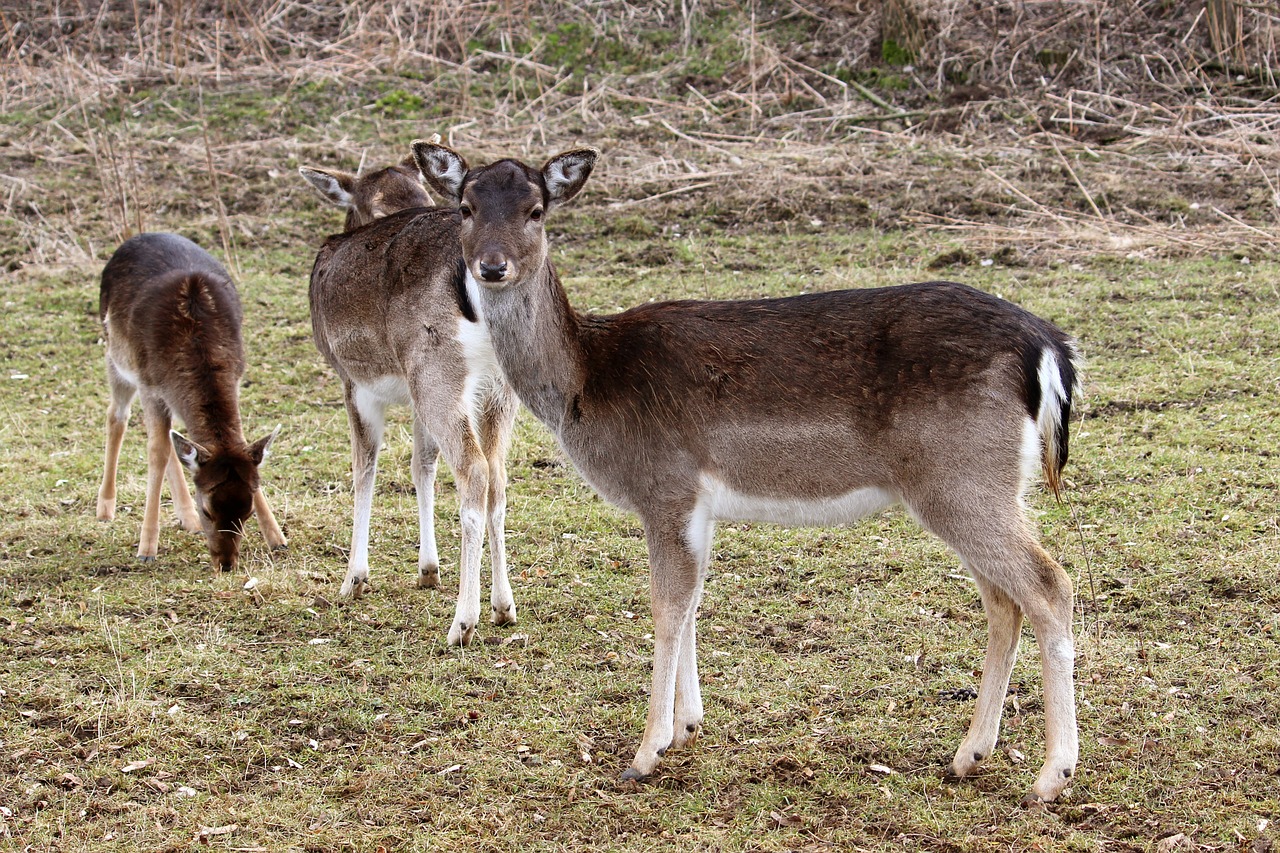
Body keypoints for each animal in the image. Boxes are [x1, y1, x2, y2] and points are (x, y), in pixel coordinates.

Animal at [95, 230, 288, 571]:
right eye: (208, 509)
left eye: (248, 513)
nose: (226, 564)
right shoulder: (149, 384)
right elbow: (156, 452)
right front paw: (146, 548)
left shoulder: (236, 375)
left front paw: (277, 538)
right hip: (115, 356)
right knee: (117, 416)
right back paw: (105, 507)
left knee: (171, 438)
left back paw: (185, 519)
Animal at [299, 151, 519, 645]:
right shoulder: (416, 395)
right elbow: (422, 467)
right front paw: (427, 570)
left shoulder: (353, 381)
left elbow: (364, 469)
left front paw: (353, 579)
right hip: (494, 386)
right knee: (497, 475)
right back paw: (503, 606)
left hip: (436, 369)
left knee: (475, 470)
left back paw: (463, 622)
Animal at [414, 140, 1085, 804]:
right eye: (467, 207)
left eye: (536, 210)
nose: (492, 267)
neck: (588, 382)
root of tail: (1049, 348)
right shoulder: (698, 504)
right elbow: (692, 602)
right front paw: (687, 727)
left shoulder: (666, 484)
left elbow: (666, 605)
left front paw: (646, 752)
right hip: (980, 485)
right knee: (1003, 600)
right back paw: (969, 754)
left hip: (961, 477)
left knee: (1049, 585)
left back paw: (1052, 775)